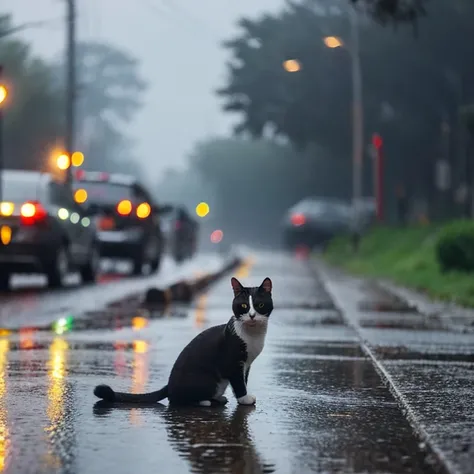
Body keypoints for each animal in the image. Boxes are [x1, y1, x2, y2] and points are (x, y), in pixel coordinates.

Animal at [94, 276, 272, 406]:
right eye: (243, 306)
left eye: (260, 305)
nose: (252, 315)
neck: (253, 336)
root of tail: (169, 385)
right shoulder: (233, 363)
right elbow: (239, 383)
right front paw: (245, 399)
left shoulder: (246, 365)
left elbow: (243, 381)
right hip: (204, 379)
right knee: (178, 399)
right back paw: (205, 401)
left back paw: (218, 398)